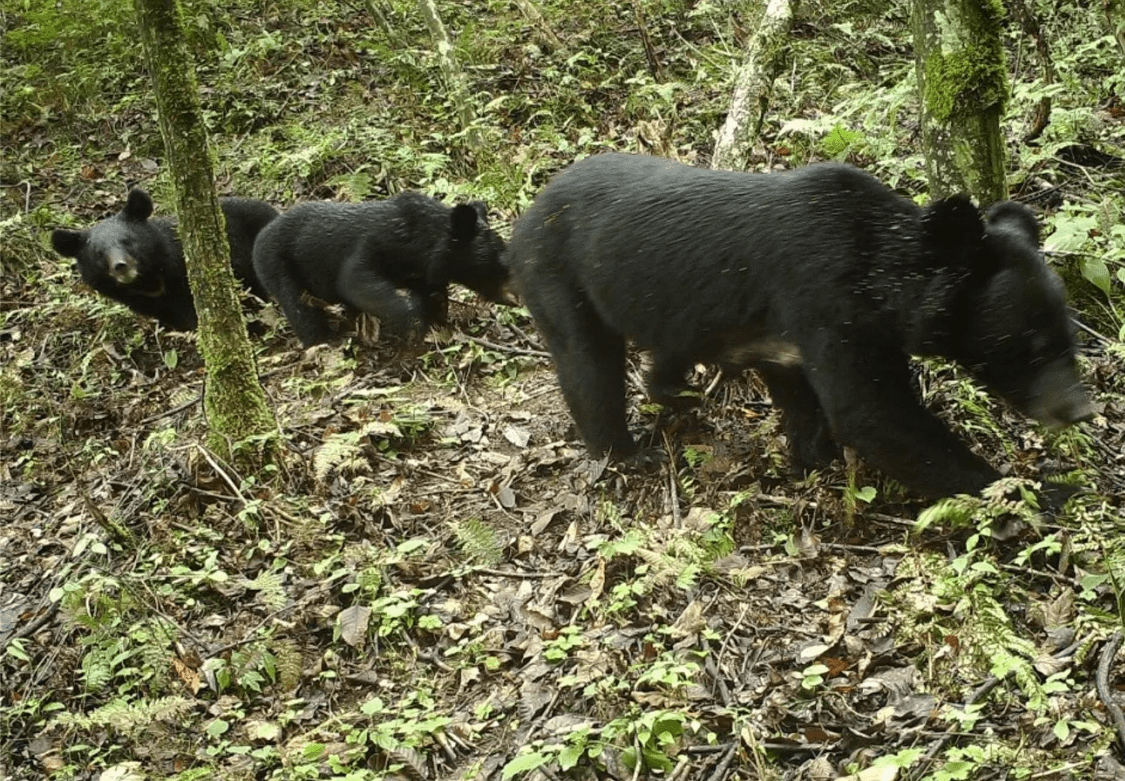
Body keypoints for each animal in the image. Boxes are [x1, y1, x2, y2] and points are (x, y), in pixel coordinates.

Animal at [250, 191, 510, 346]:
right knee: (298, 308)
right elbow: (355, 280)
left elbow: (434, 294)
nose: (513, 296)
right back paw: (321, 339)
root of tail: (261, 235)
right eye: (491, 260)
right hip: (278, 265)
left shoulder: (422, 273)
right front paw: (414, 326)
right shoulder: (375, 245)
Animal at [508, 154, 1089, 501]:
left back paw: (676, 394)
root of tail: (526, 214)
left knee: (668, 348)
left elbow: (805, 398)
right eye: (1032, 347)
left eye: (1069, 337)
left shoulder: (784, 336)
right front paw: (1029, 494)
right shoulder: (825, 300)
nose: (1080, 410)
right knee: (589, 367)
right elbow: (872, 413)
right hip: (558, 276)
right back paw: (626, 452)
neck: (882, 275)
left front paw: (814, 458)